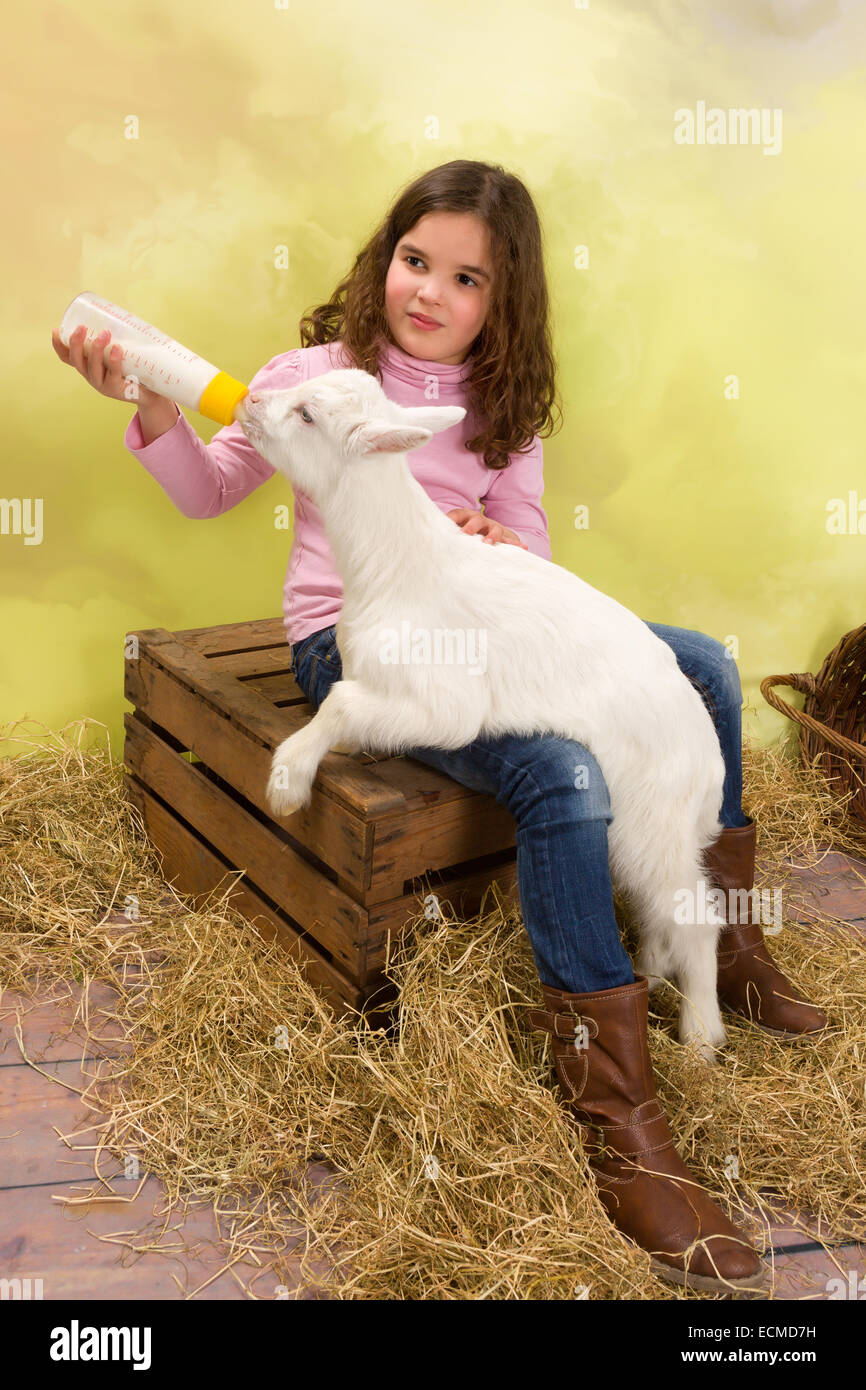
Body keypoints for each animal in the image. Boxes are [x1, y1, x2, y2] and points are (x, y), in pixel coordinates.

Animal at [240, 364, 733, 1056]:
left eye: (307, 415)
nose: (251, 401)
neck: (399, 567)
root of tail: (708, 762)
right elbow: (350, 704)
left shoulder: (445, 705)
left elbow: (340, 703)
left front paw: (288, 781)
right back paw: (656, 972)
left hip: (653, 821)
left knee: (697, 915)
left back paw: (700, 1035)